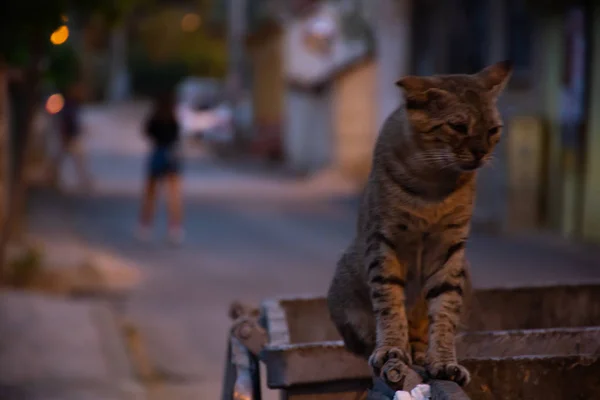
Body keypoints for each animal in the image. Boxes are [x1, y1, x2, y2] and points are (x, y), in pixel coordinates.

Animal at [328, 60, 510, 388]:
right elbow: (389, 302)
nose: (481, 152)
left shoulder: (450, 249)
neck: (433, 185)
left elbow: (445, 310)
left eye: (493, 130)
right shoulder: (383, 242)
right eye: (458, 126)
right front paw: (391, 349)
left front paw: (444, 361)